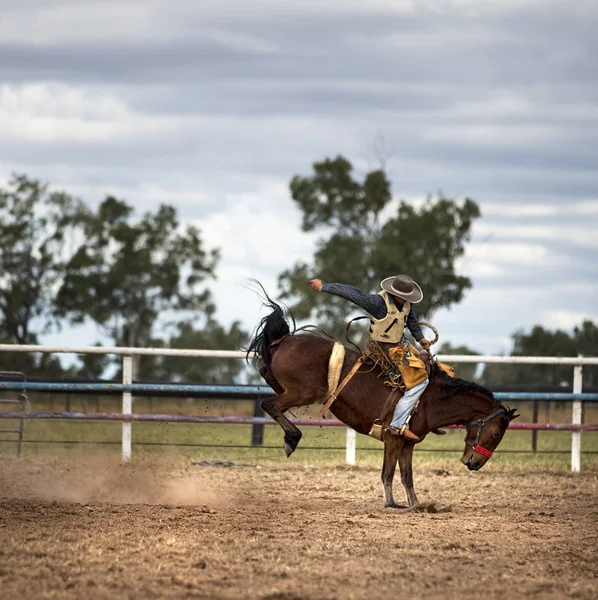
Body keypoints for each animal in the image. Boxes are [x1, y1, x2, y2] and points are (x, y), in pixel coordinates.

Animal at [248, 292, 520, 508]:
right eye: (497, 433)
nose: (475, 463)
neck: (432, 399)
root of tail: (284, 339)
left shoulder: (408, 444)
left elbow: (407, 476)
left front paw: (416, 505)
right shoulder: (392, 437)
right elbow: (387, 473)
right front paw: (391, 503)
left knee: (267, 383)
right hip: (303, 393)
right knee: (268, 404)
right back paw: (291, 439)